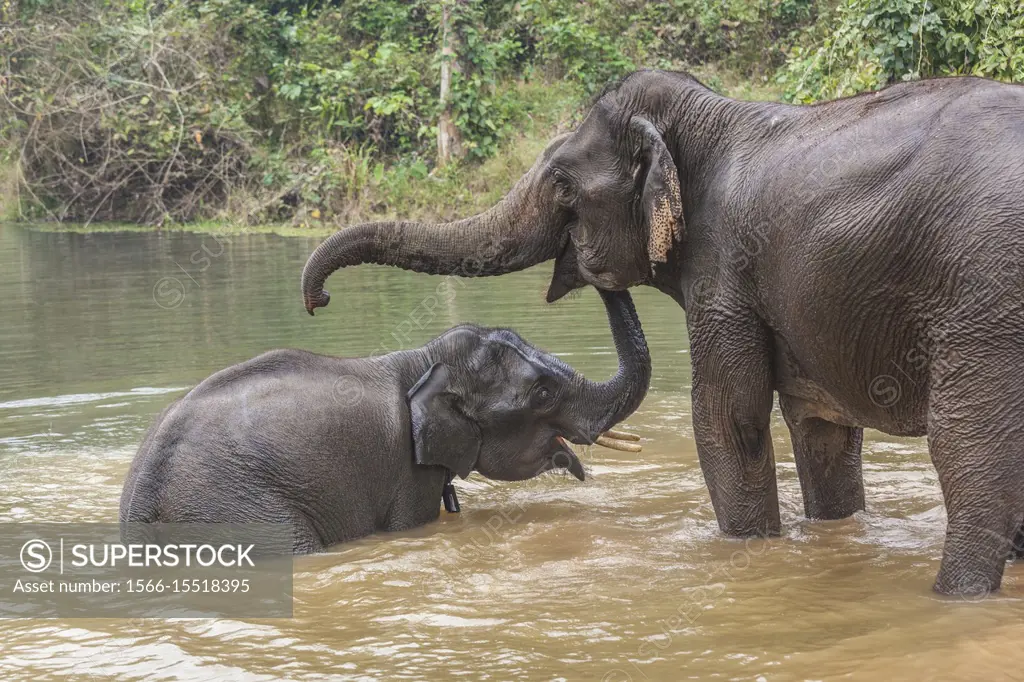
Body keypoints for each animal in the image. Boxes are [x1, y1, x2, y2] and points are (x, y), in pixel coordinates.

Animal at [299, 66, 1019, 593]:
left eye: (564, 185)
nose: (316, 300)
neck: (711, 114)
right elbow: (820, 431)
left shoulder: (725, 270)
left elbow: (727, 421)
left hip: (985, 304)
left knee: (968, 450)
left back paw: (954, 596)